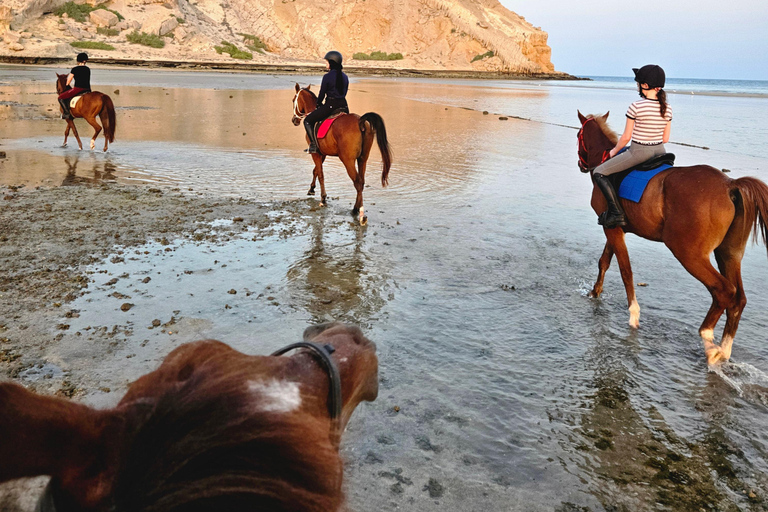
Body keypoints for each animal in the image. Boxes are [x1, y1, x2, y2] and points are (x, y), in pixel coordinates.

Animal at [292, 83, 392, 224]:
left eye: (293, 100)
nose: (294, 120)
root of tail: (361, 121)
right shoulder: (322, 153)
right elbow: (316, 171)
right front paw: (311, 189)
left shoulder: (315, 153)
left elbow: (320, 174)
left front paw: (323, 198)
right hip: (363, 159)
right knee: (361, 181)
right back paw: (356, 208)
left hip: (347, 160)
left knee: (357, 182)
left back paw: (359, 212)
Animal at [576, 113, 768, 368]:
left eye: (579, 135)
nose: (581, 164)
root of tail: (730, 185)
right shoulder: (614, 227)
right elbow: (605, 262)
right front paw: (595, 292)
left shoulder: (613, 230)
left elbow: (625, 270)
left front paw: (633, 314)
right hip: (729, 253)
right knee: (739, 299)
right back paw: (724, 349)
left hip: (688, 253)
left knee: (723, 290)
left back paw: (708, 340)